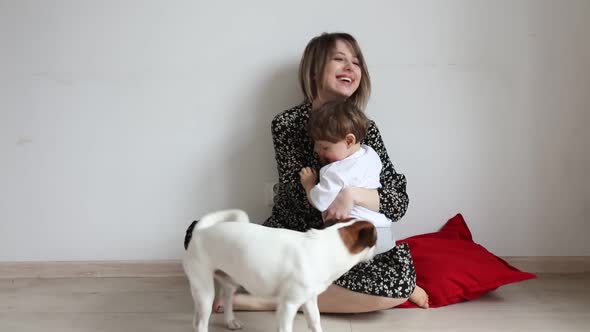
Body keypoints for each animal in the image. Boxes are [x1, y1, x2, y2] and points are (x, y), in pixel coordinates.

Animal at [184, 210, 380, 332]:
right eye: (376, 240)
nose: (377, 251)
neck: (327, 247)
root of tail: (200, 231)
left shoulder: (309, 300)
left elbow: (315, 321)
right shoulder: (289, 305)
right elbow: (286, 328)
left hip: (229, 281)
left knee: (226, 297)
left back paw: (230, 321)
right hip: (204, 290)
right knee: (200, 322)